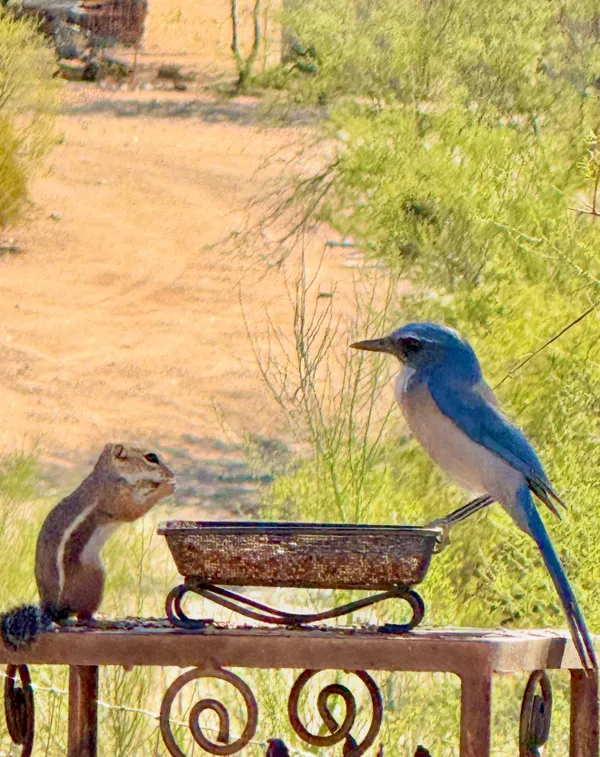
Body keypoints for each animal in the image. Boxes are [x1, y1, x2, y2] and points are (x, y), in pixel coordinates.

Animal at [1, 443, 176, 650]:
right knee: (81, 617)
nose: (171, 474)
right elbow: (133, 510)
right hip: (93, 577)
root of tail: (48, 609)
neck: (109, 473)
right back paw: (102, 622)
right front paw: (166, 487)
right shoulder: (115, 496)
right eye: (151, 457)